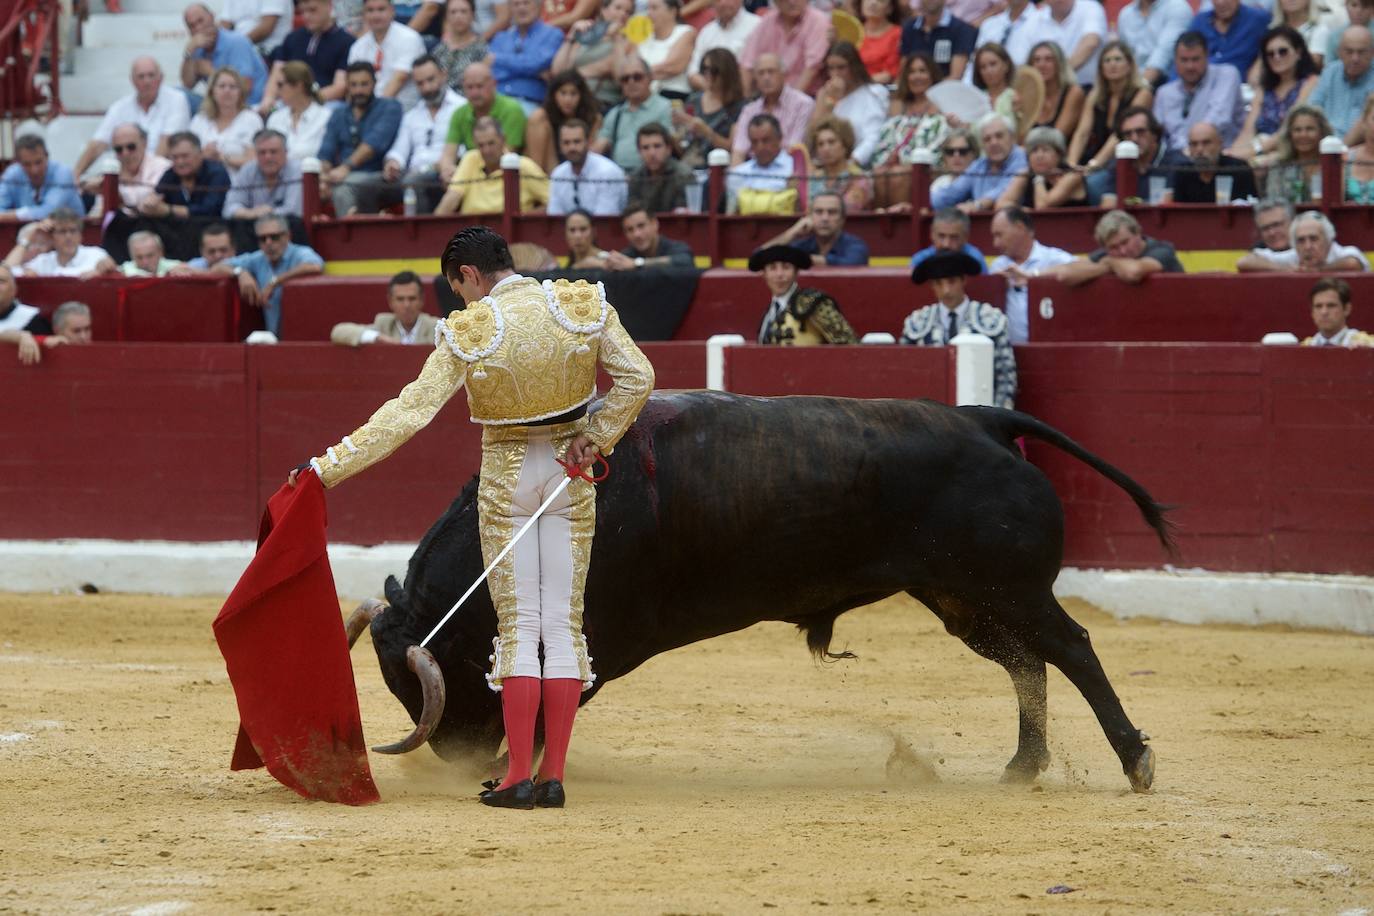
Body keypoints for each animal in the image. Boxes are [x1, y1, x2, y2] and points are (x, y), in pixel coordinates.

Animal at [354, 390, 1170, 791]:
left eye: (432, 679)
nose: (456, 758)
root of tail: (986, 419)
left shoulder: (595, 635)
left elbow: (560, 694)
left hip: (1009, 588)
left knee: (1072, 648)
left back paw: (1135, 762)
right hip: (964, 601)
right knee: (1027, 665)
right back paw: (1022, 767)